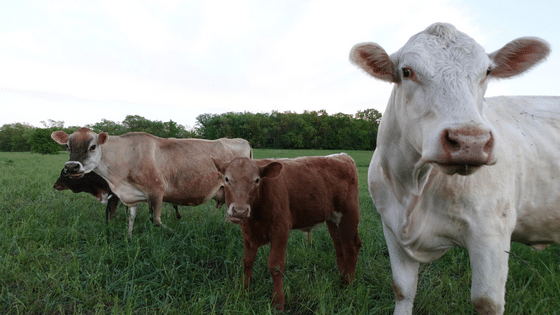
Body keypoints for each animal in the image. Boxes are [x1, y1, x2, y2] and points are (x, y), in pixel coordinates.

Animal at [51, 128, 253, 235]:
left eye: (92, 146)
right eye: (67, 146)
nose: (71, 167)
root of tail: (243, 141)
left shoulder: (156, 192)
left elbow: (155, 220)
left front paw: (174, 233)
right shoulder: (129, 196)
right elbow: (130, 219)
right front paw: (129, 239)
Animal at [211, 154, 364, 312]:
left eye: (257, 180)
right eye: (226, 179)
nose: (239, 211)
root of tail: (342, 156)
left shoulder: (281, 228)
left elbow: (276, 266)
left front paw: (278, 303)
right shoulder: (248, 232)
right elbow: (247, 262)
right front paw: (243, 291)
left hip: (349, 213)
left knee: (351, 247)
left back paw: (347, 285)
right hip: (333, 218)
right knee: (339, 246)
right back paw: (341, 278)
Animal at [350, 22, 556, 315]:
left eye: (487, 71)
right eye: (407, 71)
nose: (471, 142)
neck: (413, 187)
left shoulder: (491, 231)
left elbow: (486, 301)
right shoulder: (390, 226)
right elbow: (402, 289)